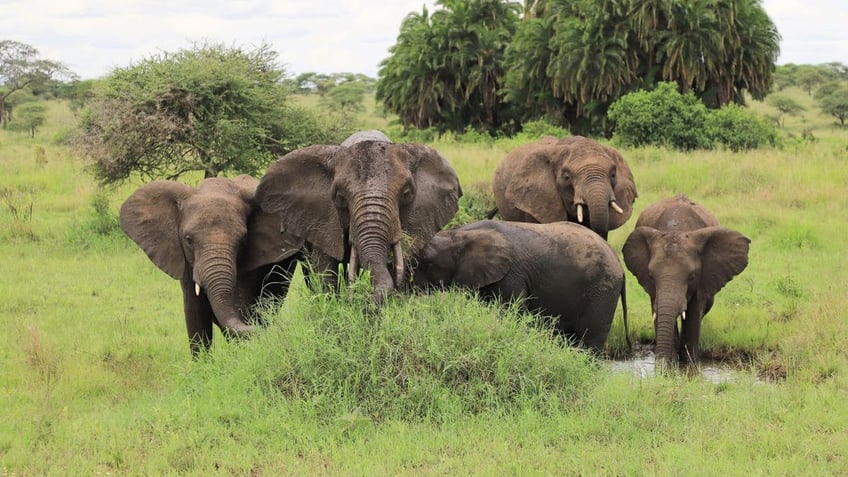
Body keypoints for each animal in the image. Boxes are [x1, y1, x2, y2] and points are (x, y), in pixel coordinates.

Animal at [414, 219, 628, 350]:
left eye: (426, 264)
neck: (460, 233)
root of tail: (619, 263)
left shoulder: (511, 275)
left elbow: (510, 314)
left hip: (602, 290)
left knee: (590, 341)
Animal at [624, 193, 748, 364]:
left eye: (692, 276)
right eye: (651, 275)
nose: (659, 362)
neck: (677, 228)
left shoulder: (703, 278)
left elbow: (694, 311)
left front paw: (690, 362)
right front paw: (671, 362)